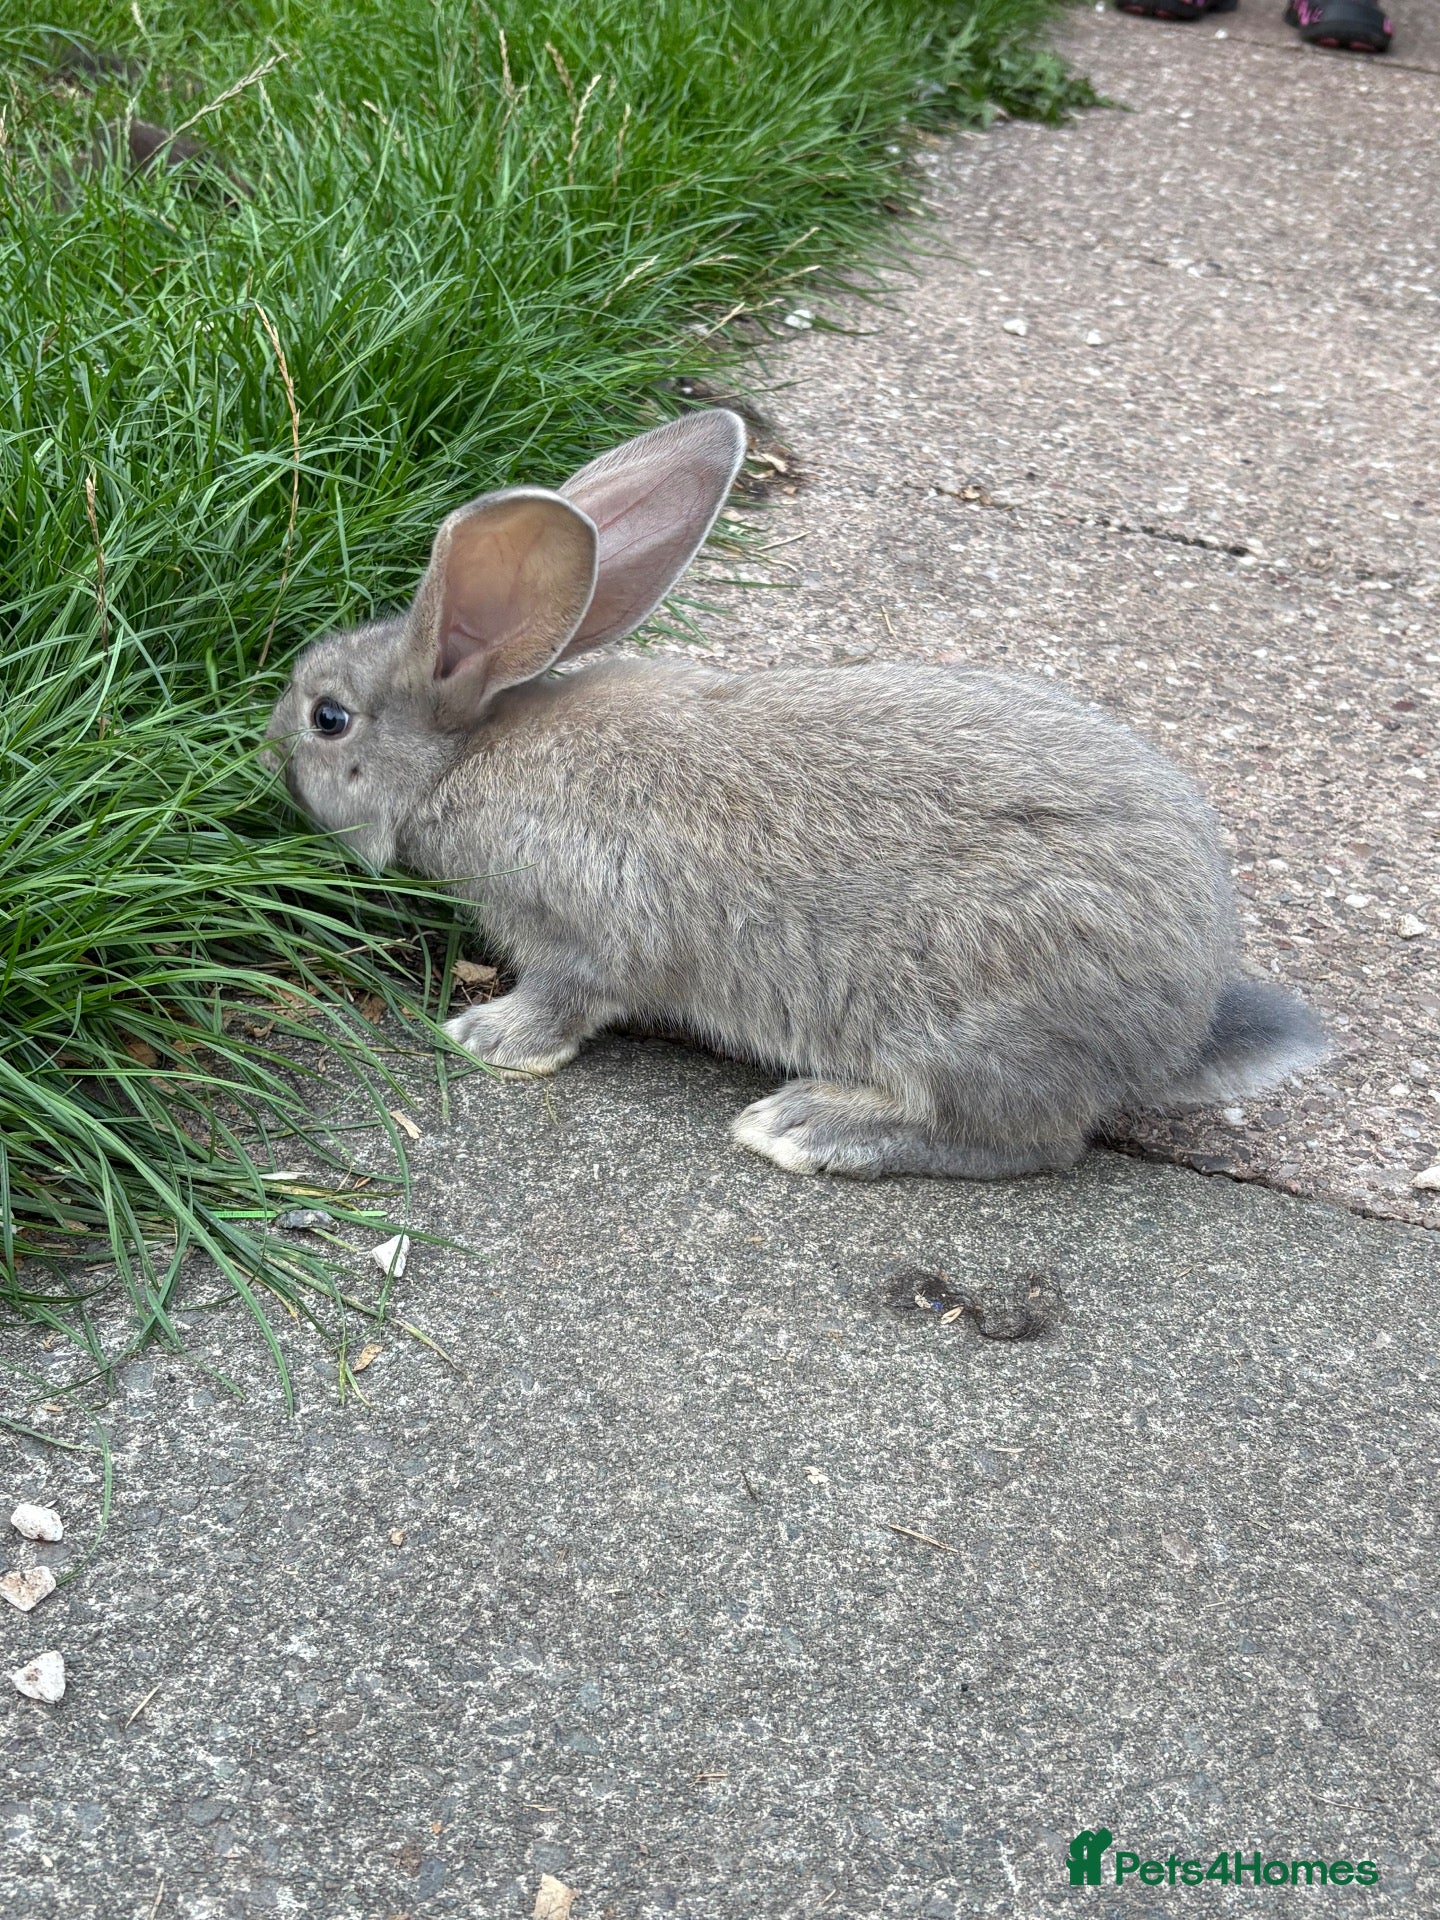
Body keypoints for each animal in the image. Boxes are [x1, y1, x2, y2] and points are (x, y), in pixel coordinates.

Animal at [265, 408, 1327, 1180]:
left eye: (330, 718)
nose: (271, 747)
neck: (465, 755)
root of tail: (1177, 1033)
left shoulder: (580, 931)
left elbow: (568, 999)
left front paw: (484, 1037)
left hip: (976, 1028)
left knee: (1020, 1142)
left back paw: (806, 1127)